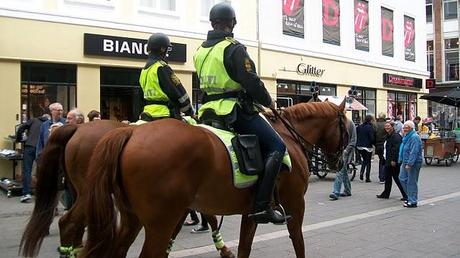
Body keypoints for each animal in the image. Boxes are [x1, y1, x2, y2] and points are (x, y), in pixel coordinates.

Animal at [81, 101, 346, 258]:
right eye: (346, 126)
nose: (340, 162)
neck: (288, 137)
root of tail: (131, 131)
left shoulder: (251, 211)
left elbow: (245, 247)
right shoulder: (295, 205)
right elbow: (298, 242)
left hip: (132, 218)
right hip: (160, 223)